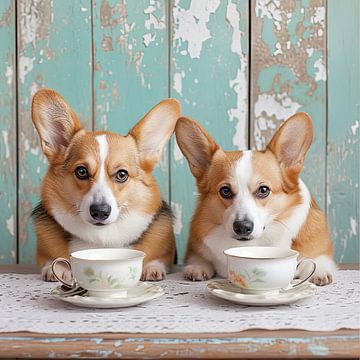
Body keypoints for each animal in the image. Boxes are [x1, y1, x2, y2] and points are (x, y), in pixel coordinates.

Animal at [31, 88, 180, 282]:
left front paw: (152, 267)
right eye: (81, 171)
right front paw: (56, 268)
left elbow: (158, 258)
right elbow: (51, 259)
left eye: (122, 174)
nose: (100, 211)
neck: (101, 240)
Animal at [176, 114, 338, 286]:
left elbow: (315, 260)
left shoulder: (321, 251)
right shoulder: (196, 247)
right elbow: (199, 258)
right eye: (225, 191)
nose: (242, 227)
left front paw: (319, 271)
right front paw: (196, 267)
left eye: (263, 190)